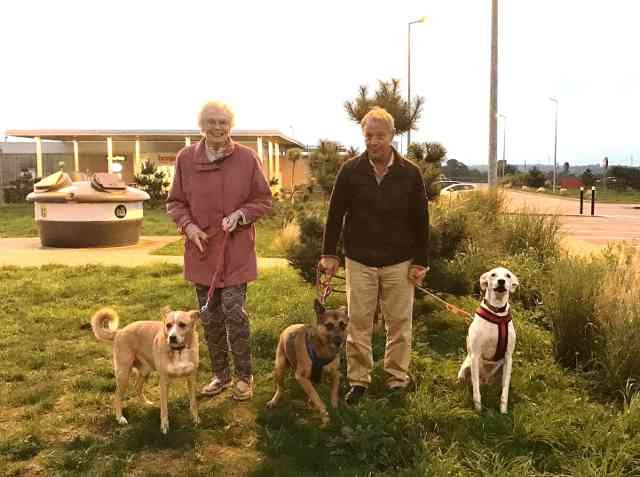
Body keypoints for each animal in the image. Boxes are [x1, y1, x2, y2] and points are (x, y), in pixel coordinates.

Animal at [90, 306, 200, 434]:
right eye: (168, 325)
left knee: (137, 386)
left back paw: (146, 404)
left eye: (182, 324)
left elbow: (193, 403)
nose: (172, 337)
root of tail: (120, 331)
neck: (179, 351)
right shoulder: (164, 382)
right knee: (117, 396)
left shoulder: (191, 379)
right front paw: (164, 426)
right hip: (123, 375)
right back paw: (120, 418)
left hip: (144, 371)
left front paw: (196, 419)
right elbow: (164, 408)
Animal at [458, 266, 516, 410]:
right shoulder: (475, 354)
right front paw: (478, 408)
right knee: (469, 380)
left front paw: (503, 410)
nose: (501, 281)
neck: (497, 312)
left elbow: (505, 390)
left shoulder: (508, 357)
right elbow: (476, 389)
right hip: (467, 367)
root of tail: (486, 380)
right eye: (493, 274)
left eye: (508, 275)